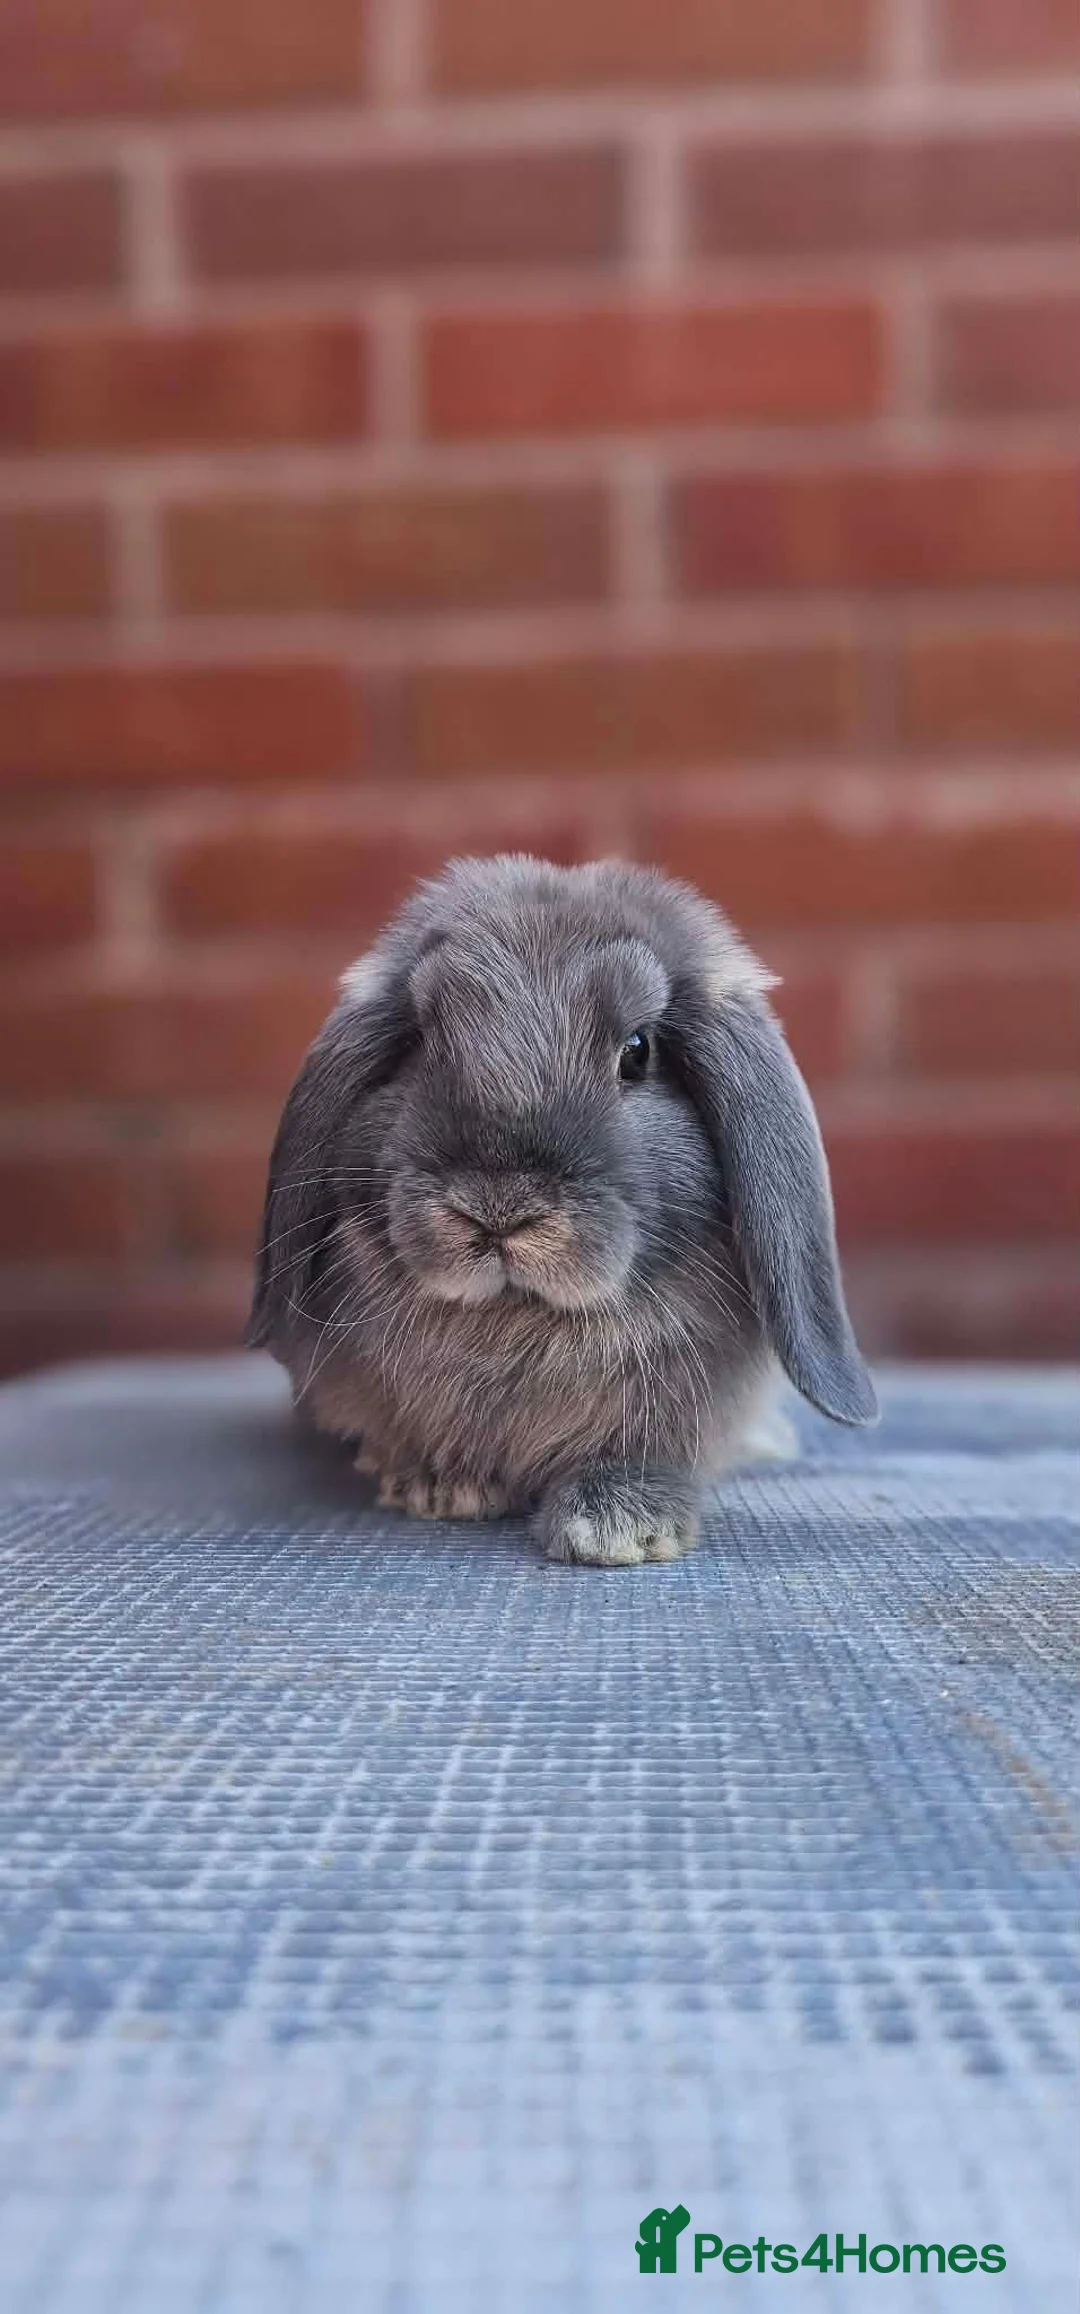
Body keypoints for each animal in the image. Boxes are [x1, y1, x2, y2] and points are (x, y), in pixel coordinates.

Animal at [248, 854, 876, 1566]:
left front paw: (618, 1529)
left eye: (637, 1050)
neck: (519, 1317)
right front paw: (439, 1488)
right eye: (418, 1043)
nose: (497, 1208)